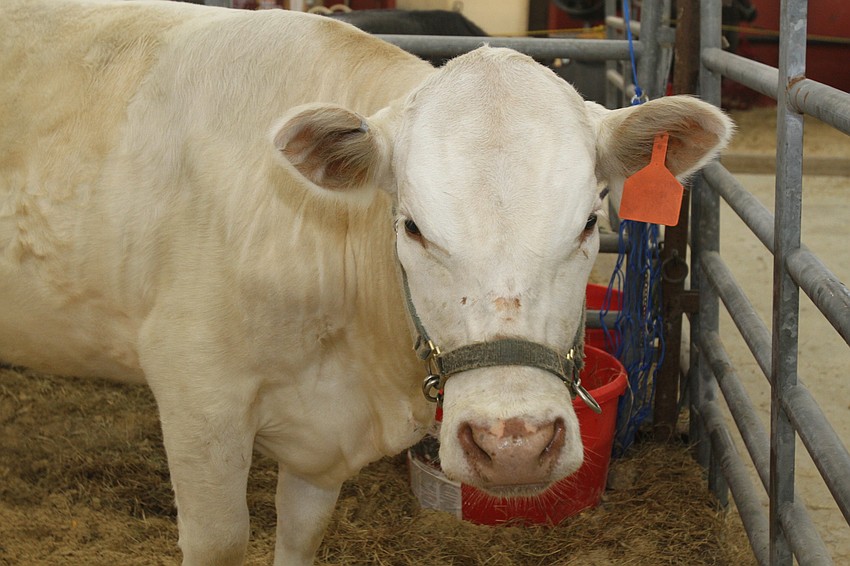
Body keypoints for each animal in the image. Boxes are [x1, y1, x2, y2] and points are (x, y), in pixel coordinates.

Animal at [0, 1, 733, 564]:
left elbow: (301, 536)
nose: (513, 446)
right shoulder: (197, 401)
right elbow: (221, 542)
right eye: (411, 227)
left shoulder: (318, 448)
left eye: (588, 222)